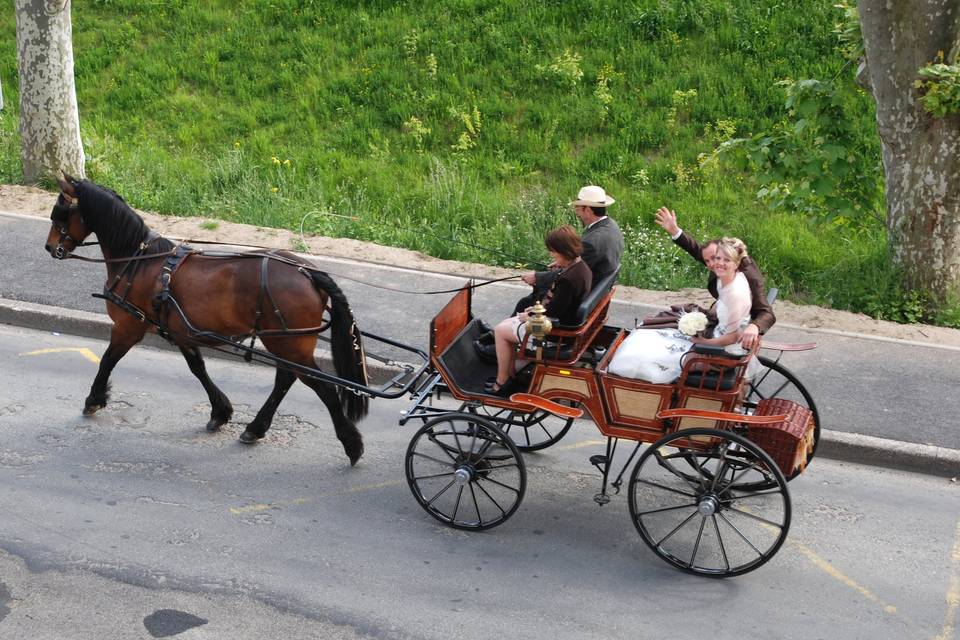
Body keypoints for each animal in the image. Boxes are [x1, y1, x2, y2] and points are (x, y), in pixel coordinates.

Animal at [47, 175, 372, 464]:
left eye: (61, 213)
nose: (51, 248)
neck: (138, 260)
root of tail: (308, 272)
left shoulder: (128, 327)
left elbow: (107, 360)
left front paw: (94, 399)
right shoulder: (180, 331)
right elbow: (198, 368)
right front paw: (220, 411)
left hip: (288, 343)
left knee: (320, 386)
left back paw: (351, 443)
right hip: (286, 343)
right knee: (286, 378)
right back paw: (256, 428)